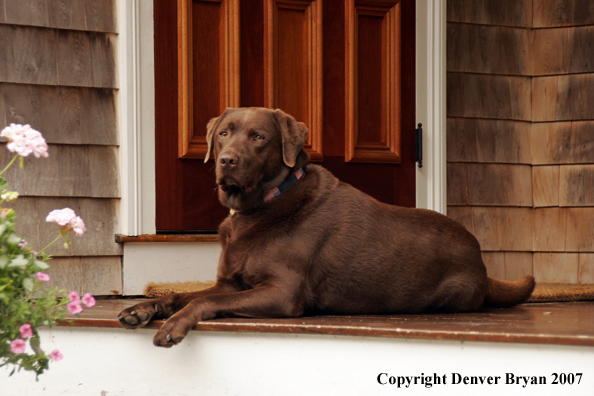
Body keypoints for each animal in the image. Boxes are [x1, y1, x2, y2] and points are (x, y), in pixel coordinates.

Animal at [118, 107, 536, 346]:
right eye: (224, 133)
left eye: (258, 137)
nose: (226, 160)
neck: (260, 208)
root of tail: (480, 258)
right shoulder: (230, 283)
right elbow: (182, 294)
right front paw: (143, 308)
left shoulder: (282, 294)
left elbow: (205, 301)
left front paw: (173, 325)